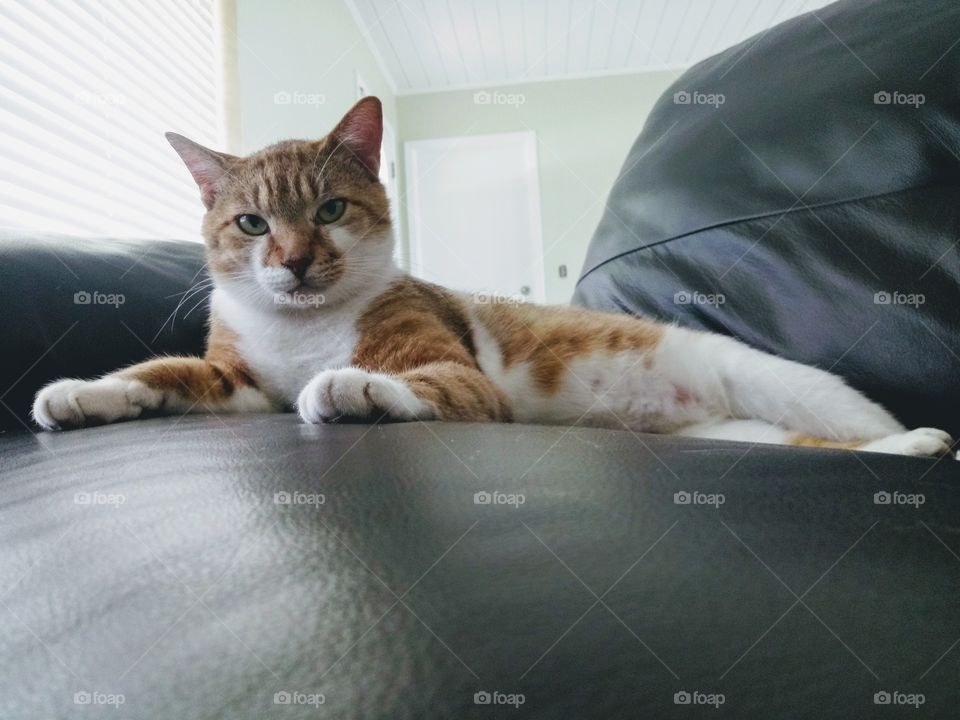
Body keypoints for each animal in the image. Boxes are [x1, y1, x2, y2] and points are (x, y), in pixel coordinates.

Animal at [31, 95, 952, 458]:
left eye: (330, 209)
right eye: (252, 224)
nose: (292, 261)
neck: (301, 328)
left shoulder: (457, 371)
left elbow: (424, 384)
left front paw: (351, 387)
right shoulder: (239, 382)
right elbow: (163, 373)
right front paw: (82, 393)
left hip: (793, 387)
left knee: (859, 437)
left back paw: (919, 442)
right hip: (740, 436)